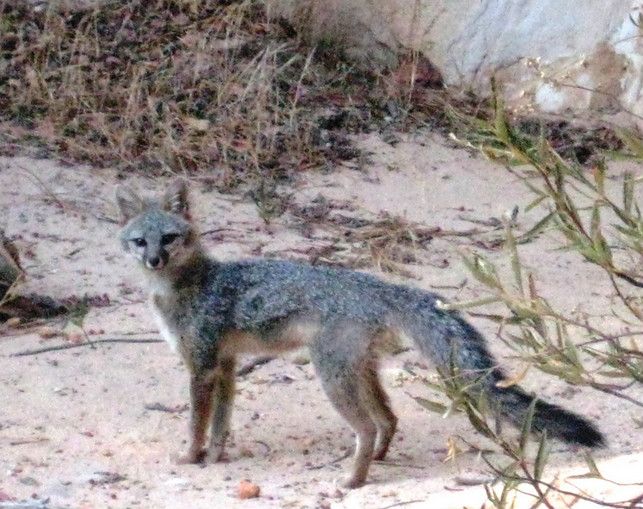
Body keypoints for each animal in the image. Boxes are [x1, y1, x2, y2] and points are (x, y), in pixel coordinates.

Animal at [114, 179, 604, 488]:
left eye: (168, 238)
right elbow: (221, 422)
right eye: (140, 241)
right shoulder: (228, 364)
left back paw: (352, 480)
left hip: (331, 376)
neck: (189, 284)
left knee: (368, 427)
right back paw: (378, 461)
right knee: (389, 418)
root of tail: (379, 284)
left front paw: (191, 457)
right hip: (361, 371)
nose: (154, 260)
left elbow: (197, 422)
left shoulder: (201, 367)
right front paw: (216, 456)